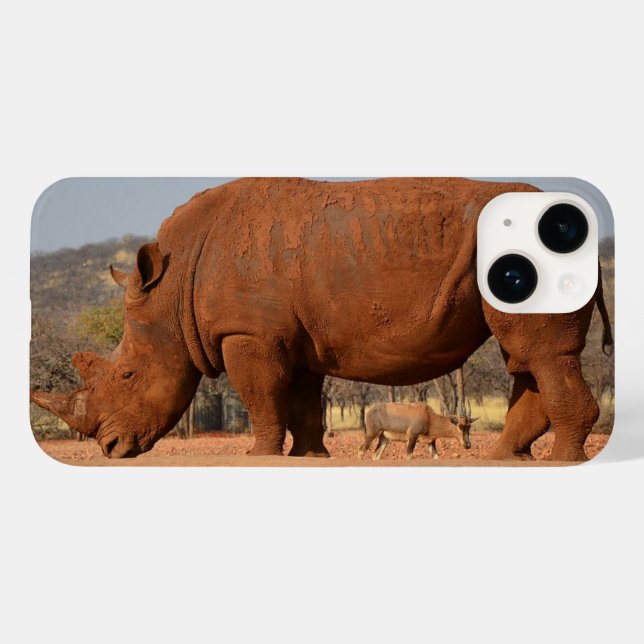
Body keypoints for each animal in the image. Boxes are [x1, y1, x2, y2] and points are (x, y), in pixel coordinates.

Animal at [30, 178, 613, 460]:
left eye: (128, 375)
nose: (109, 450)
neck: (171, 291)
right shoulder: (290, 337)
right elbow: (303, 401)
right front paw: (310, 454)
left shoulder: (248, 333)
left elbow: (261, 397)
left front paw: (259, 454)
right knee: (526, 358)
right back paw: (505, 458)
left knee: (541, 355)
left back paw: (559, 461)